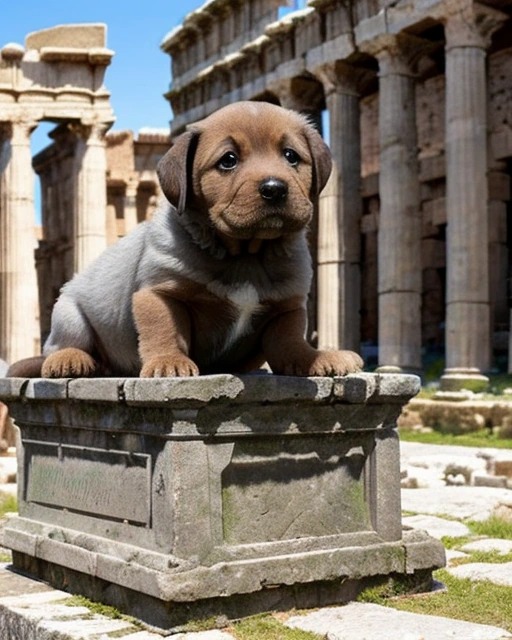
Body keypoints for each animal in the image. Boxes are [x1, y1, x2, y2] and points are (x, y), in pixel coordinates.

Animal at [7, 102, 360, 378]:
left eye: (291, 156)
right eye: (228, 160)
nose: (274, 188)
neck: (245, 253)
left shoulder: (287, 305)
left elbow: (290, 341)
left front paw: (318, 358)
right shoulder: (158, 293)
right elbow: (165, 329)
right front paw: (168, 364)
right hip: (68, 312)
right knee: (61, 344)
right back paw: (71, 360)